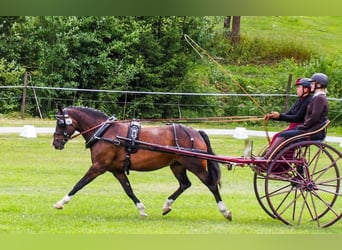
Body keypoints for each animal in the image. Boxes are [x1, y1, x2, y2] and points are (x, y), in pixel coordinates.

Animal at [51, 105, 232, 221]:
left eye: (60, 123)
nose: (56, 143)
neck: (105, 132)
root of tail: (196, 132)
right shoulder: (117, 170)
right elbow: (128, 190)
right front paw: (142, 210)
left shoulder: (98, 167)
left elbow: (79, 184)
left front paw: (60, 203)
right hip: (177, 165)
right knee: (185, 184)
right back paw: (167, 206)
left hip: (195, 165)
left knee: (211, 185)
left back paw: (225, 211)